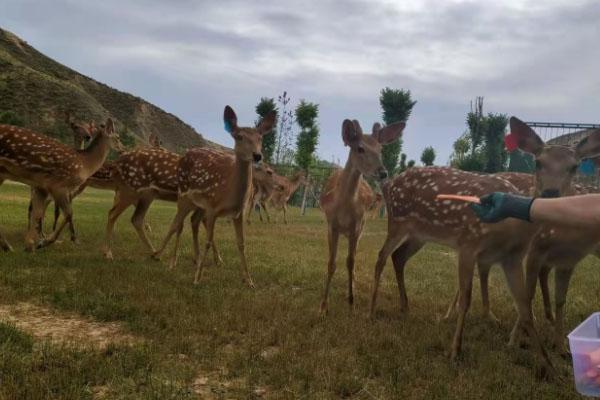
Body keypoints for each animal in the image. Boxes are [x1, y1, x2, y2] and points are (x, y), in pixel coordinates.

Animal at [0, 117, 120, 252]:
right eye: (117, 136)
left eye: (90, 128)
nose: (122, 149)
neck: (84, 164)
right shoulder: (57, 185)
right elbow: (68, 213)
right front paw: (45, 242)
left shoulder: (42, 186)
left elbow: (38, 212)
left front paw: (31, 245)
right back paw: (9, 245)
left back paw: (8, 246)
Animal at [151, 104, 276, 286]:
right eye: (239, 137)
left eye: (260, 137)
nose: (257, 155)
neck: (230, 193)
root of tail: (184, 156)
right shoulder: (212, 208)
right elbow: (208, 241)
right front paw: (197, 278)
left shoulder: (238, 212)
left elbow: (241, 243)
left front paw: (248, 280)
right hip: (183, 194)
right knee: (177, 224)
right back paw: (164, 259)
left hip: (197, 203)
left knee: (192, 221)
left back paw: (194, 259)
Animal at [316, 120, 406, 314]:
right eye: (360, 148)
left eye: (380, 149)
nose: (383, 172)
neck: (343, 208)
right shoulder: (331, 225)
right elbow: (331, 263)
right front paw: (323, 306)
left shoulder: (356, 226)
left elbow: (350, 261)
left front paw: (351, 300)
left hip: (360, 230)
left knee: (354, 257)